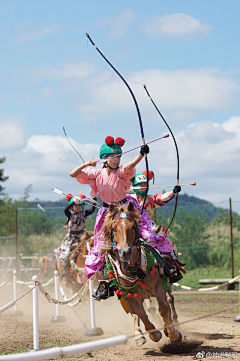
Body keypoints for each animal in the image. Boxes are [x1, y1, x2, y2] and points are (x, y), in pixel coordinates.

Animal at [100, 201, 182, 344]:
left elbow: (164, 308)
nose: (125, 252)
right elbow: (142, 314)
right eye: (114, 228)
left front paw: (173, 334)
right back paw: (139, 335)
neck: (135, 271)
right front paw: (154, 334)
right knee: (136, 313)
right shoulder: (131, 295)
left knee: (167, 302)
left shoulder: (159, 286)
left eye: (133, 227)